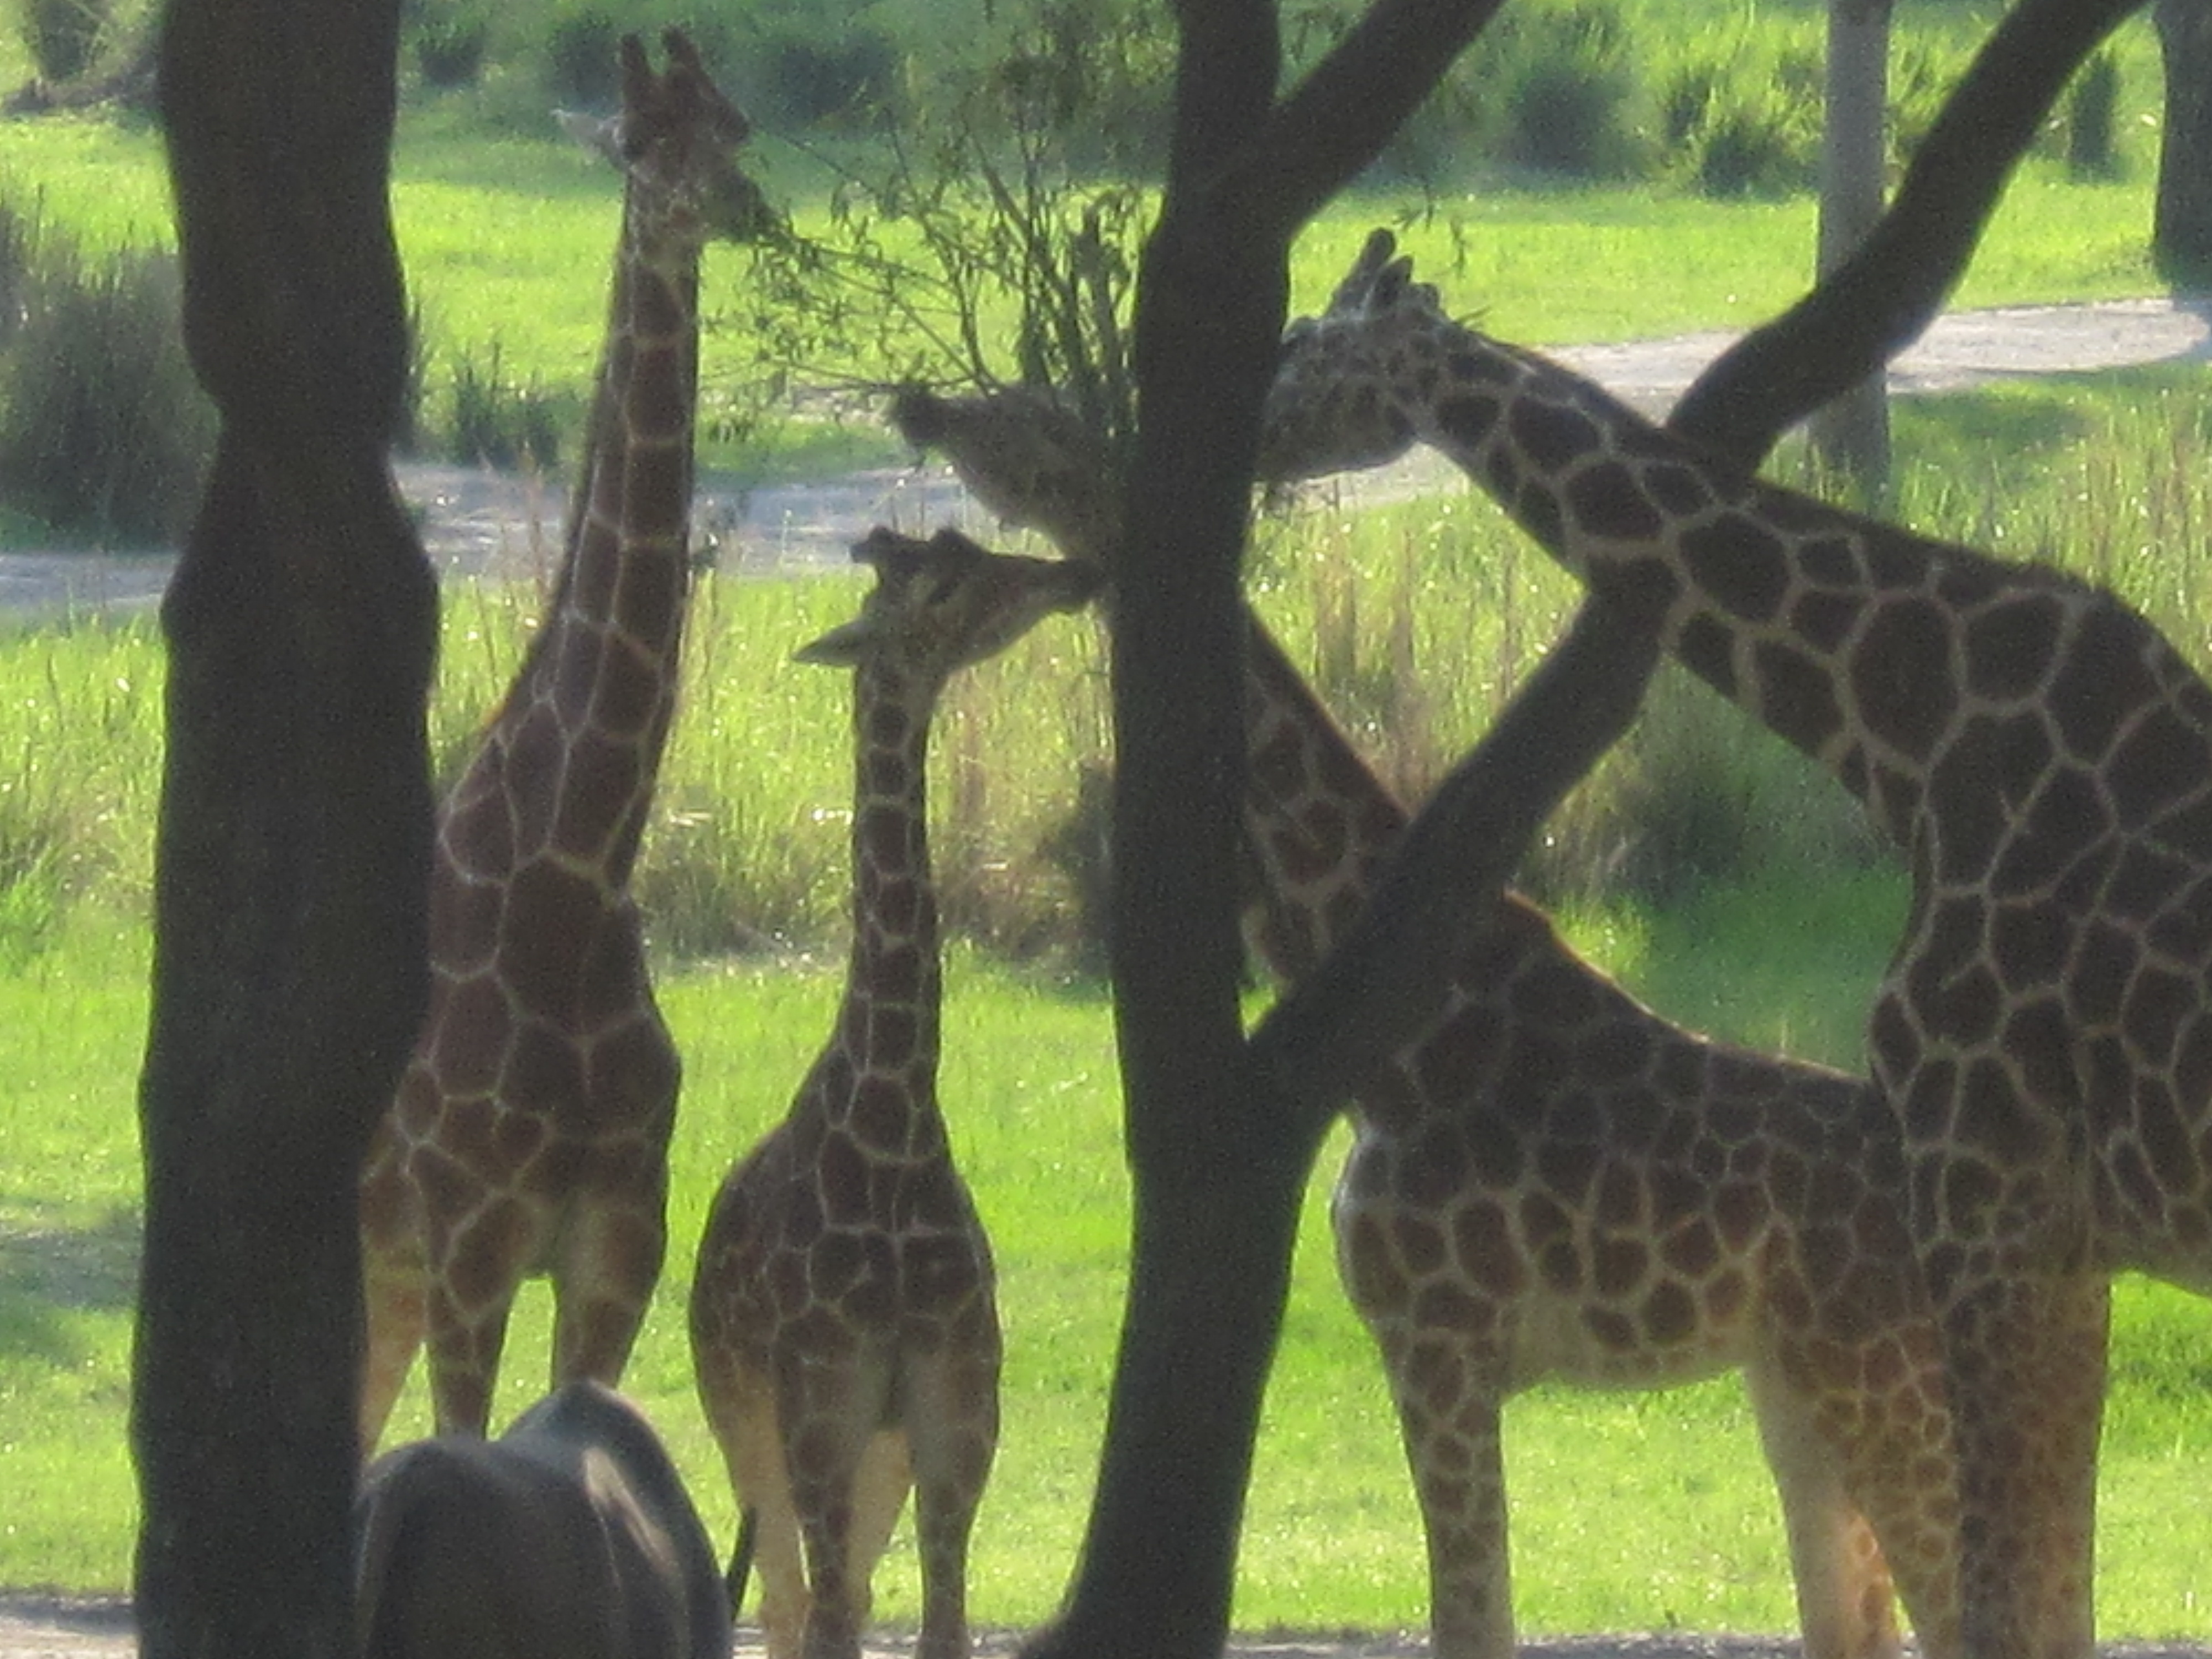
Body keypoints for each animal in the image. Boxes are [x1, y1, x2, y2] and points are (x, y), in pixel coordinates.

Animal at [358, 29, 783, 1451]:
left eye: (734, 125)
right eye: (642, 144)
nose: (743, 211)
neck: (578, 867)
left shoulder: (618, 1241)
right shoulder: (475, 1240)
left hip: (384, 1276)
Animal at [690, 529, 1097, 1659]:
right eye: (943, 582)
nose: (1072, 572)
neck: (895, 1125)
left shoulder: (955, 1420)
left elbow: (942, 1624)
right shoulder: (822, 1413)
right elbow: (825, 1619)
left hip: (877, 1456)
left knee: (847, 1599)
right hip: (748, 1421)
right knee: (791, 1604)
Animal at [889, 387, 1964, 1659]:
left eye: (1010, 420)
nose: (916, 403)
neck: (1402, 1054)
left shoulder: (1440, 1340)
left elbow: (1470, 1611)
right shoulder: (1432, 1350)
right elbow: (1480, 1608)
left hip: (1877, 1376)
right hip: (1797, 1380)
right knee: (1865, 1609)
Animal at [1256, 234, 2212, 1659]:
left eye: (1308, 346)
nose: (1244, 435)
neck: (1905, 732)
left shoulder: (1984, 1200)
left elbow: (2005, 1600)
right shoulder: (2052, 1239)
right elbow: (2047, 1595)